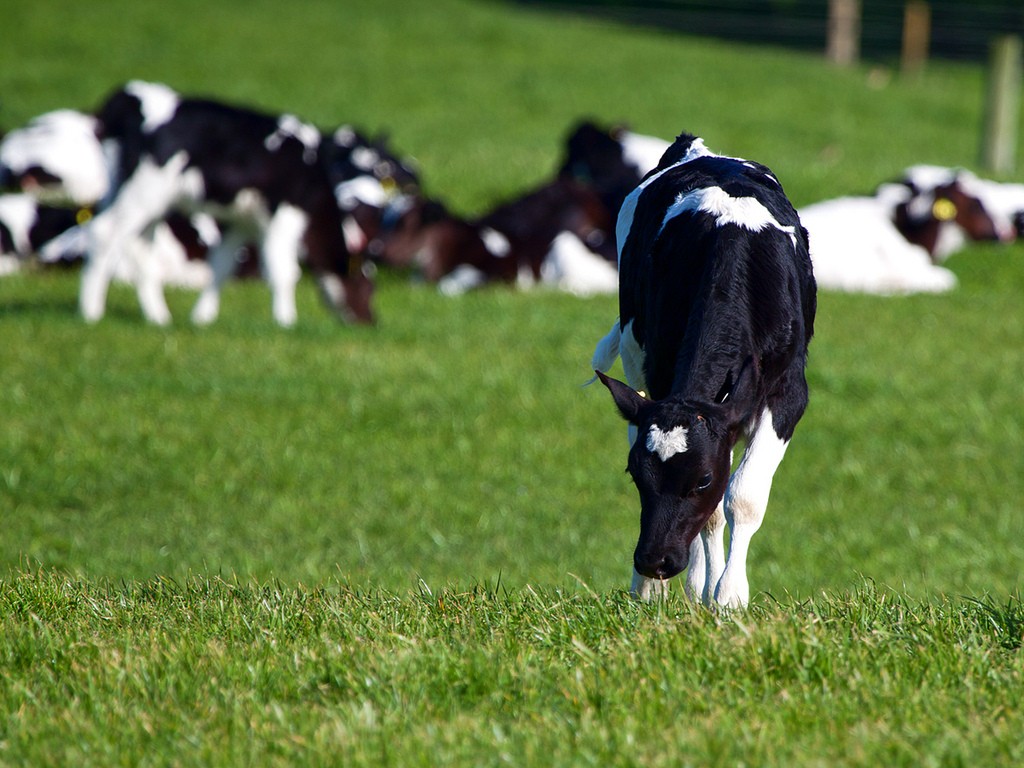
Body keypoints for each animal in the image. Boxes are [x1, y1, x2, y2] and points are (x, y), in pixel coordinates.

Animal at [80, 81, 402, 326]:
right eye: (368, 286)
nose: (371, 321)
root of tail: (124, 99)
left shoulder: (241, 222)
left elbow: (221, 266)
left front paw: (202, 318)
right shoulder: (286, 214)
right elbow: (285, 271)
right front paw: (286, 322)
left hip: (135, 196)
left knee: (139, 247)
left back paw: (158, 317)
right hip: (145, 190)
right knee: (105, 233)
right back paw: (91, 312)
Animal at [592, 132, 816, 609]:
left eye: (702, 479)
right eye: (635, 474)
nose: (654, 561)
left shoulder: (787, 396)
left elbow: (742, 496)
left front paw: (729, 597)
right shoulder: (659, 378)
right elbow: (713, 516)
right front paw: (702, 590)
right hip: (634, 363)